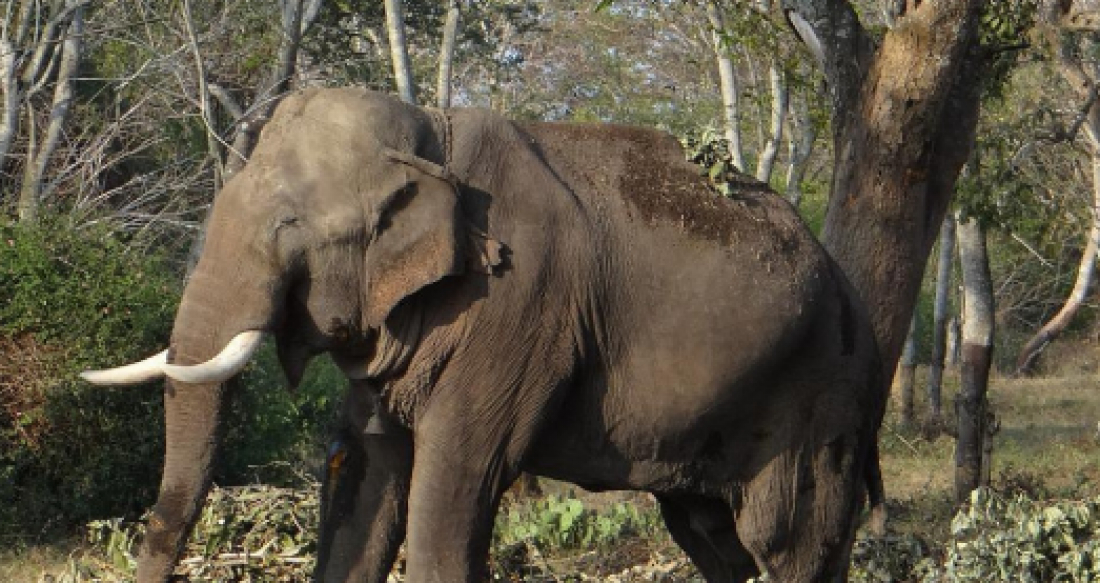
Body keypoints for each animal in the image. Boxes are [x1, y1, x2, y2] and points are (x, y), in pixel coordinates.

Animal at [83, 87, 885, 582]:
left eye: (291, 228)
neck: (431, 133)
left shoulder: (518, 308)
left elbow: (455, 479)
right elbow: (369, 474)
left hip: (822, 394)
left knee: (791, 540)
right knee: (713, 534)